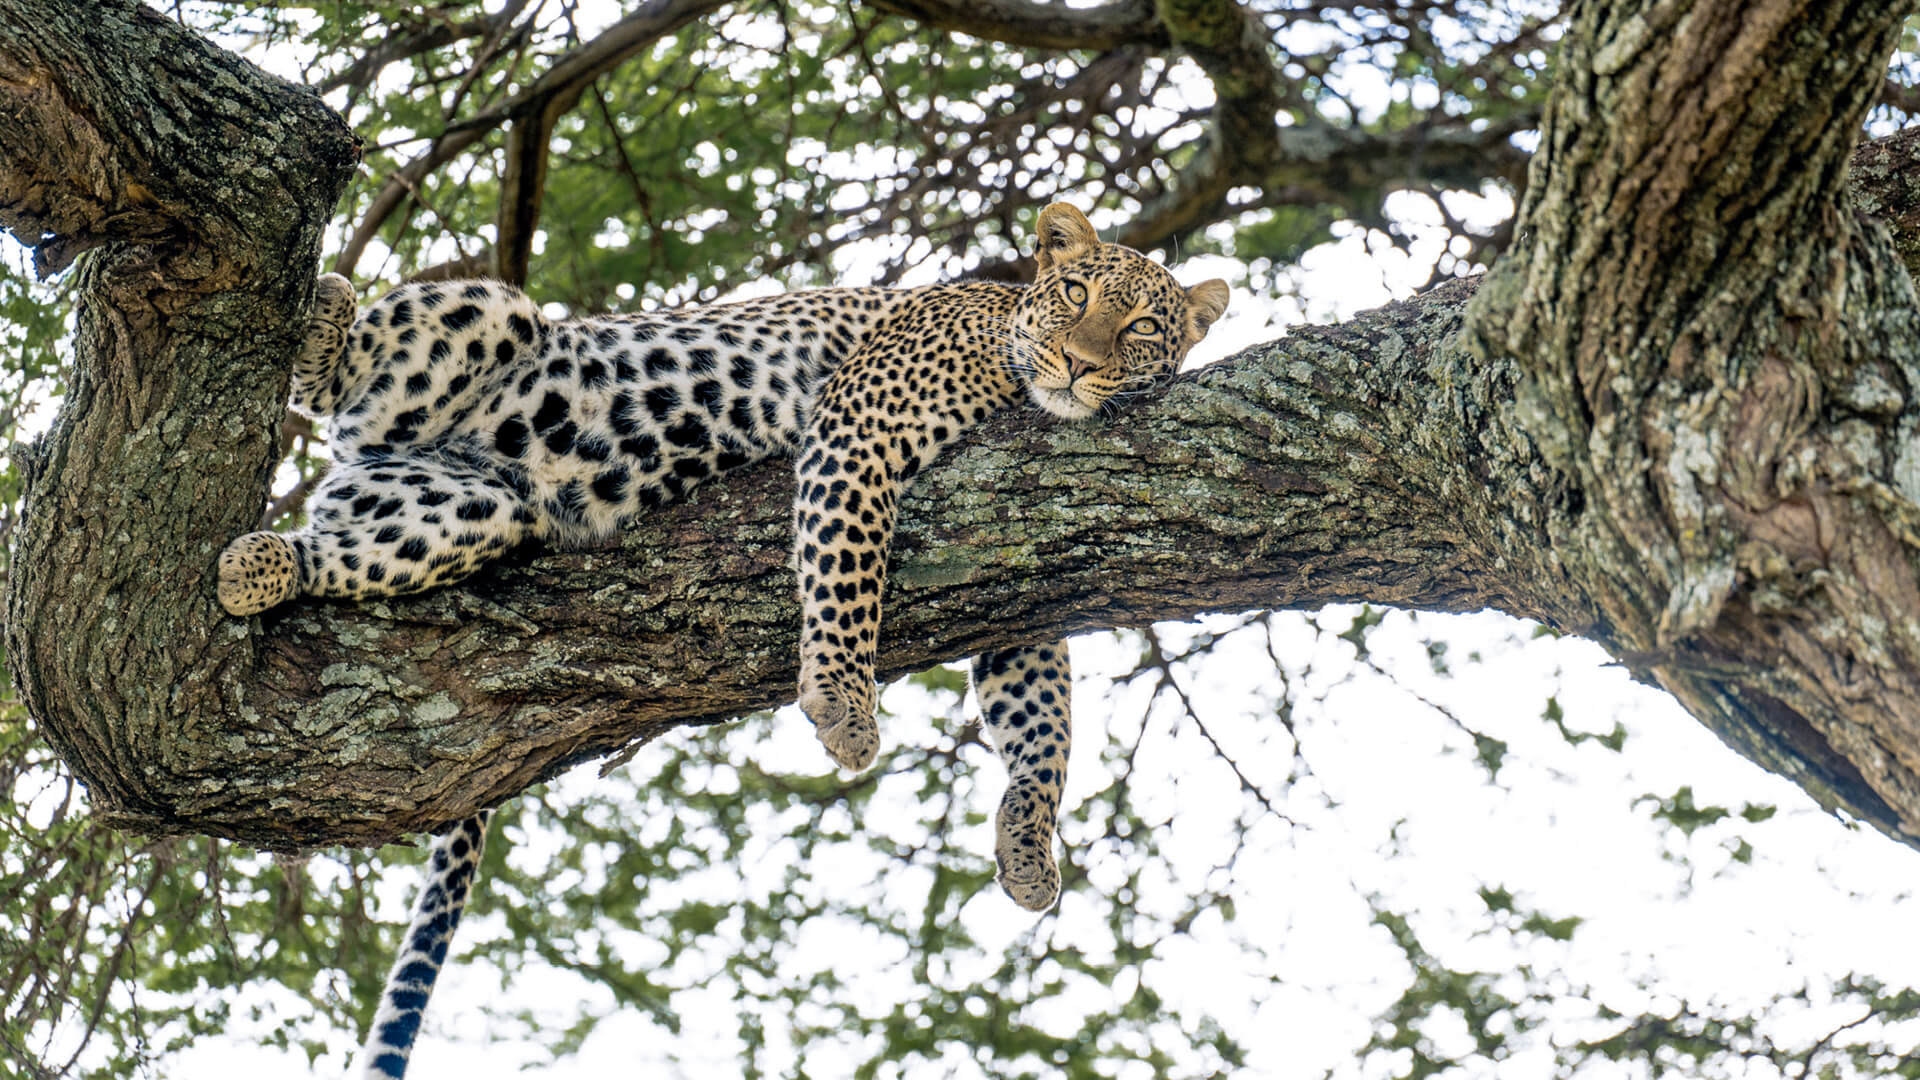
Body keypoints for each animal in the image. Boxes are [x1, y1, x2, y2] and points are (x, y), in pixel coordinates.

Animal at [217, 203, 1228, 1077]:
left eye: (1144, 326)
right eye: (1075, 294)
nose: (1075, 363)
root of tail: (378, 458)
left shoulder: (1022, 559)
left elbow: (1040, 717)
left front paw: (1028, 845)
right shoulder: (859, 425)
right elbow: (848, 566)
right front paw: (844, 704)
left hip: (465, 508)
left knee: (342, 546)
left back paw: (265, 564)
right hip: (486, 319)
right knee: (341, 378)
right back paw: (325, 318)